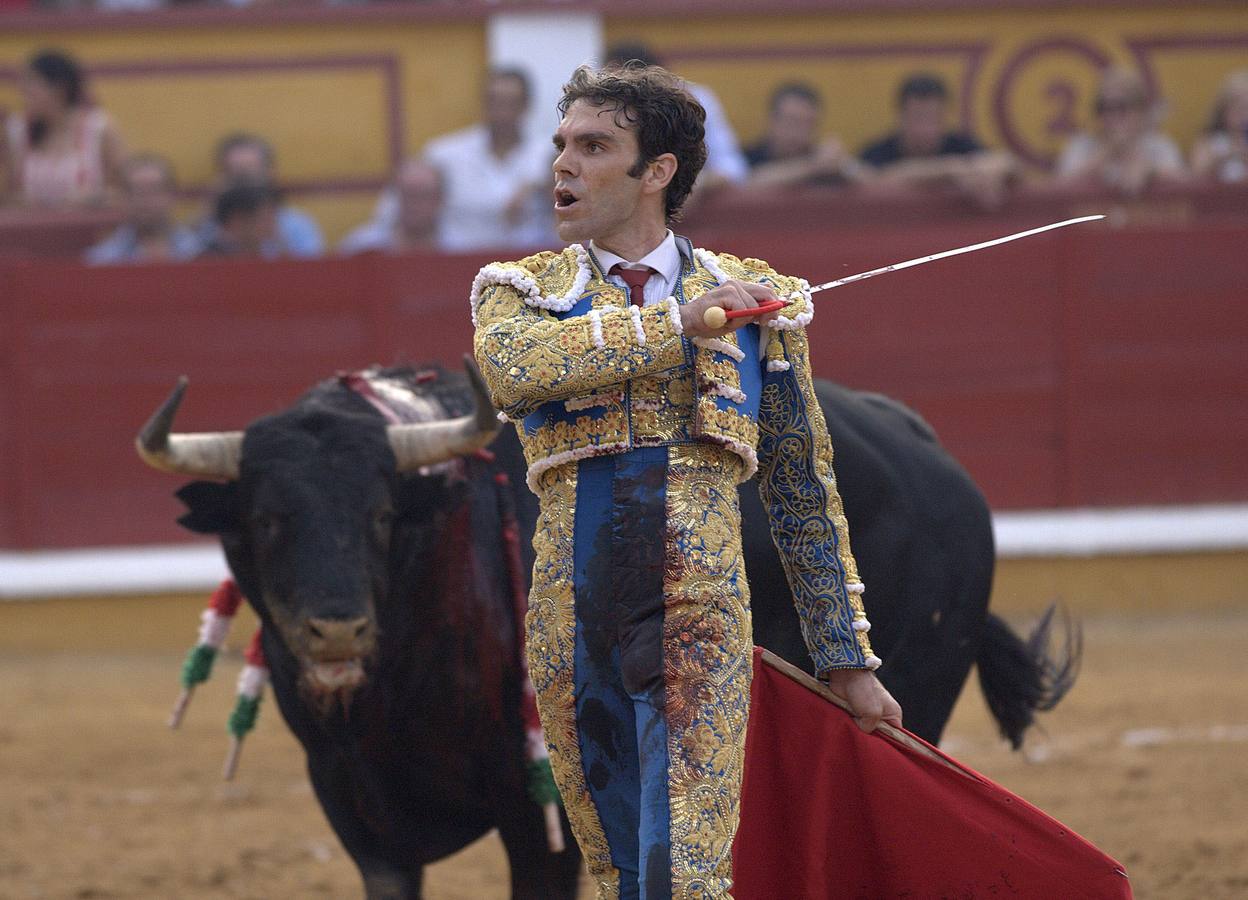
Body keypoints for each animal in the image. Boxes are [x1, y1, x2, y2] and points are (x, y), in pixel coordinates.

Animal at [151, 366, 1078, 898]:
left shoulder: (539, 823)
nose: (336, 632)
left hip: (919, 699)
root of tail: (930, 454)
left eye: (381, 514)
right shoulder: (357, 812)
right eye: (265, 519)